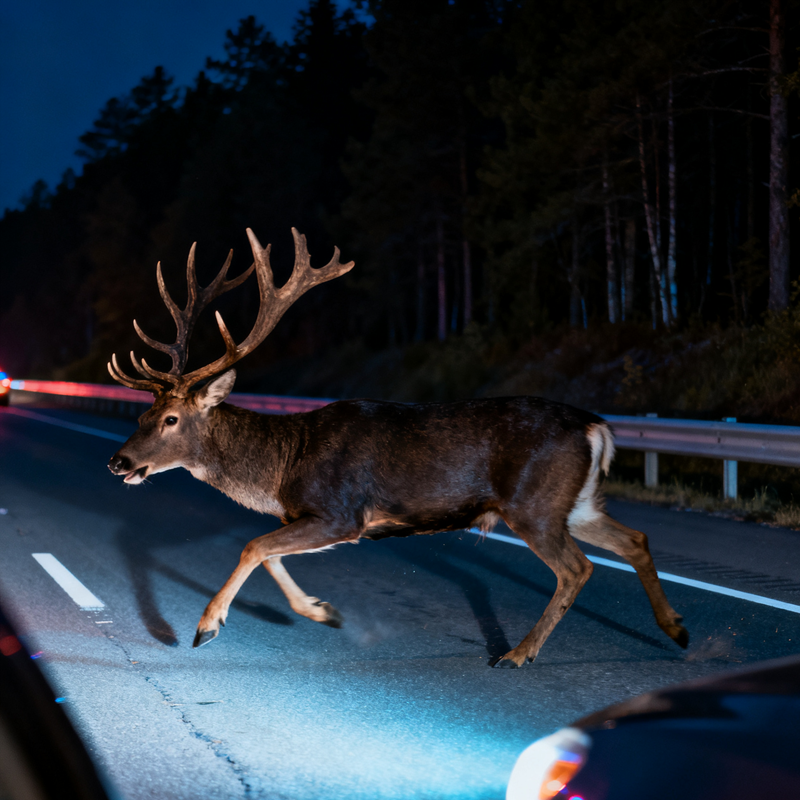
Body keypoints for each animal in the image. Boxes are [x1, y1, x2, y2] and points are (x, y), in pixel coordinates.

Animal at [107, 228, 689, 668]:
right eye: (140, 415)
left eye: (171, 419)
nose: (119, 461)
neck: (282, 467)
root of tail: (597, 427)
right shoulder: (309, 517)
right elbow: (268, 553)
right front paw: (322, 610)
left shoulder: (341, 514)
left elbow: (253, 546)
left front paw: (206, 626)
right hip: (577, 502)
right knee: (634, 539)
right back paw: (676, 629)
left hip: (533, 504)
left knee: (577, 568)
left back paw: (518, 653)